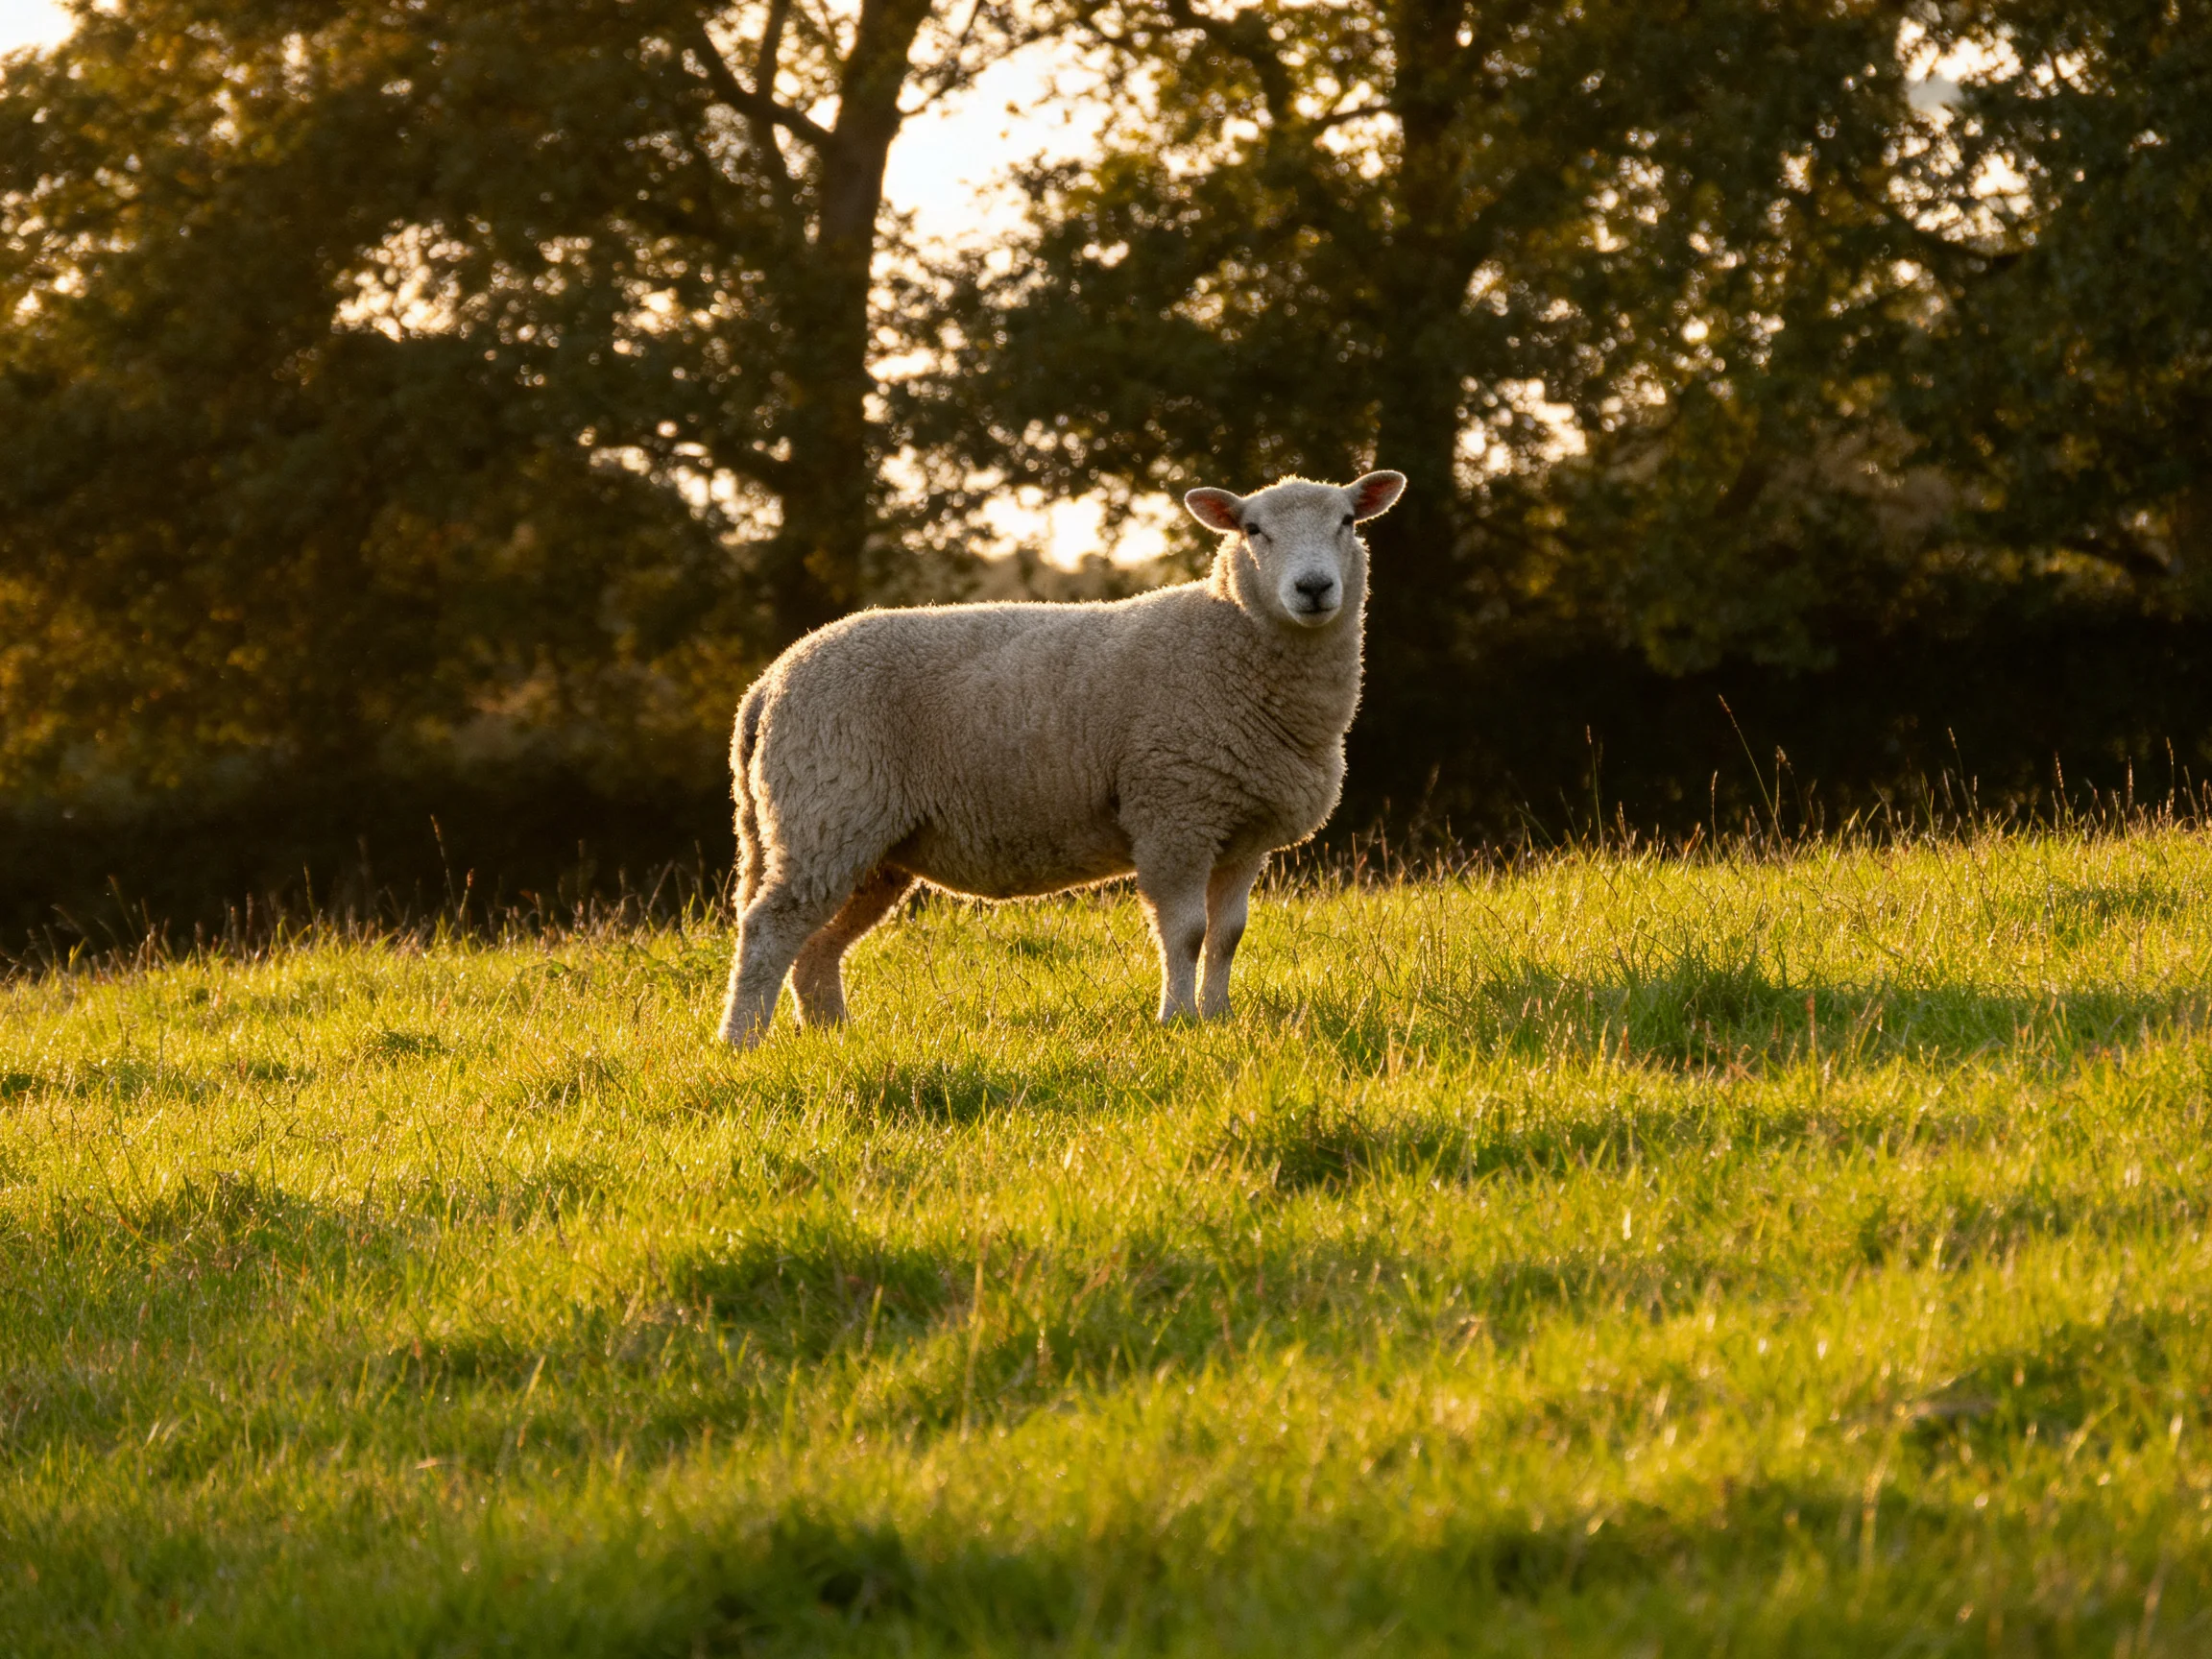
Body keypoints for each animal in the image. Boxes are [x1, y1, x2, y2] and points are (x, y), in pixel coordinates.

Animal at [715, 469, 1408, 1046]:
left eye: (1348, 521)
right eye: (1253, 530)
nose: (1313, 588)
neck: (1225, 637)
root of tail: (767, 683)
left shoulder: (1241, 832)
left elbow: (1227, 937)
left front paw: (1219, 1018)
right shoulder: (1174, 814)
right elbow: (1185, 933)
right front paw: (1177, 1021)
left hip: (860, 841)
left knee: (817, 944)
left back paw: (832, 1035)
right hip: (827, 810)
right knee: (770, 928)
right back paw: (741, 1041)